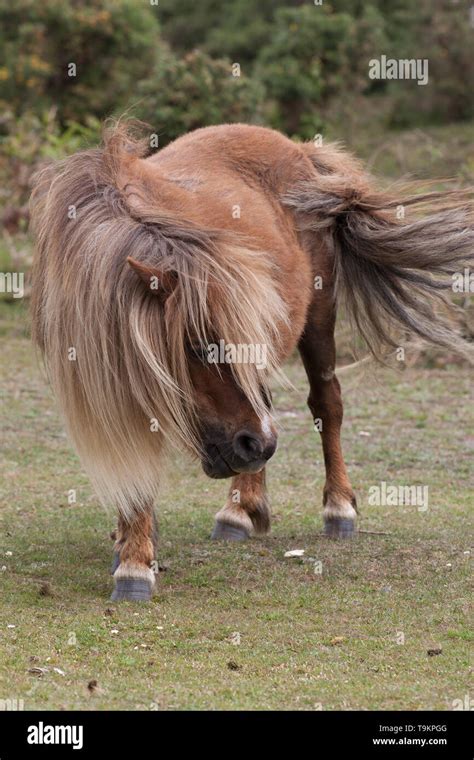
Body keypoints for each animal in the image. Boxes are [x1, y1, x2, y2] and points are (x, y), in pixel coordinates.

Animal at [30, 123, 474, 600]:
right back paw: (244, 508)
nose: (253, 446)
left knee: (326, 404)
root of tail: (301, 152)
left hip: (318, 318)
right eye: (198, 346)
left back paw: (332, 508)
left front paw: (134, 565)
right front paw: (132, 546)